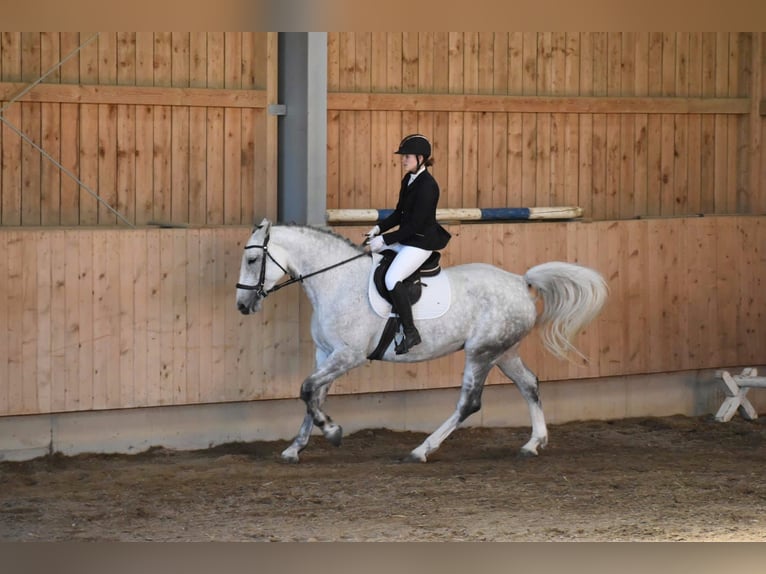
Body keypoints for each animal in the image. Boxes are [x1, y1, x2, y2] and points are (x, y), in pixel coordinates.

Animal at [237, 218, 608, 466]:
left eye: (253, 260)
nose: (242, 306)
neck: (336, 281)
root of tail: (520, 281)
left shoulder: (348, 355)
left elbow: (306, 389)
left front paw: (333, 431)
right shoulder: (325, 353)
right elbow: (313, 395)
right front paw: (294, 448)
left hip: (480, 352)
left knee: (469, 403)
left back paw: (420, 451)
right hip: (503, 351)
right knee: (529, 384)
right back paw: (533, 444)